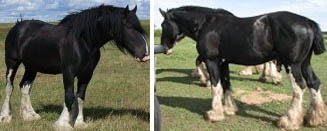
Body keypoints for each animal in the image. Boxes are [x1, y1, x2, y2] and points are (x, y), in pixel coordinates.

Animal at [0, 4, 149, 129]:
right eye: (128, 27)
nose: (145, 54)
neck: (82, 41)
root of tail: (18, 26)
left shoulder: (87, 74)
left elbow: (80, 97)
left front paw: (79, 122)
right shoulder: (69, 72)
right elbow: (69, 95)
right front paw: (63, 123)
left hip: (32, 67)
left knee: (25, 86)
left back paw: (29, 116)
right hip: (12, 63)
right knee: (9, 86)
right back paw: (5, 117)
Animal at [160, 5, 326, 130]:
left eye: (163, 25)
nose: (165, 48)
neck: (207, 24)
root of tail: (308, 22)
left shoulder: (211, 61)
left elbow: (215, 85)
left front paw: (215, 113)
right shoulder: (223, 62)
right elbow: (226, 84)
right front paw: (229, 109)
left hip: (292, 65)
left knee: (299, 87)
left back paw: (289, 121)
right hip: (305, 63)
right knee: (314, 83)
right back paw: (314, 118)